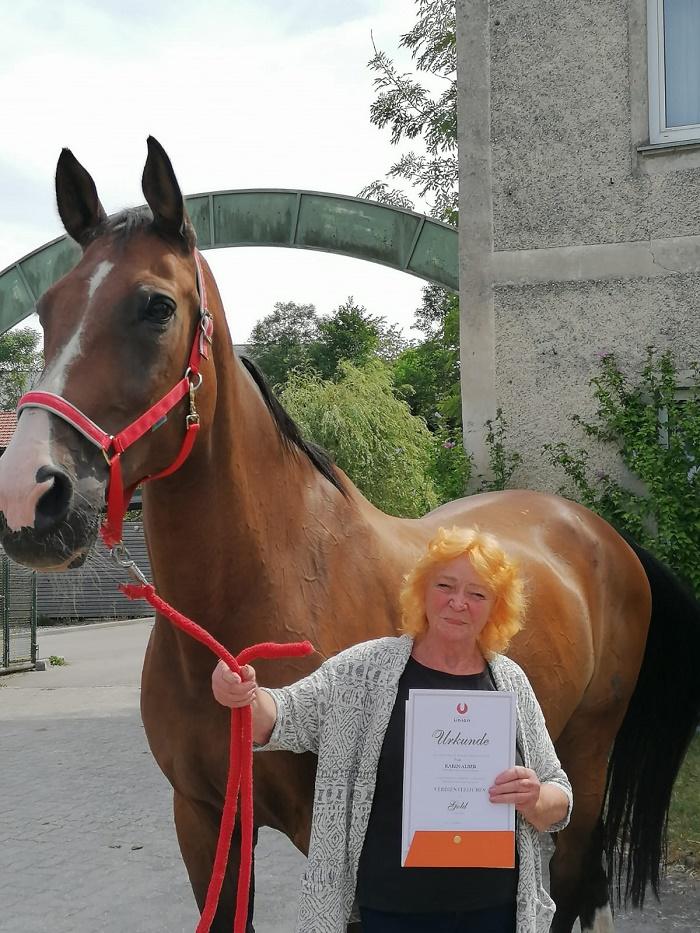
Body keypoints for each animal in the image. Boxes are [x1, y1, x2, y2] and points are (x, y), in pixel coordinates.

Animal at [0, 133, 696, 932]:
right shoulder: (203, 819)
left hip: (582, 758)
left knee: (575, 883)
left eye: (155, 305)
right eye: (47, 308)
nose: (29, 494)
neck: (263, 596)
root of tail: (601, 536)